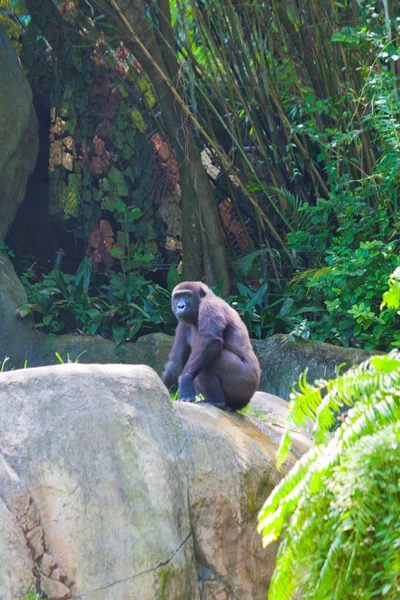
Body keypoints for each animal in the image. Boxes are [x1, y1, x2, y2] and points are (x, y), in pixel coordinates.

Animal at [161, 278, 260, 410]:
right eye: (177, 297)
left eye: (187, 296)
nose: (180, 306)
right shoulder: (182, 323)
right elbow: (176, 362)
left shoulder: (210, 305)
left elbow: (209, 340)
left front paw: (185, 381)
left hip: (246, 383)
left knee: (209, 361)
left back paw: (217, 402)